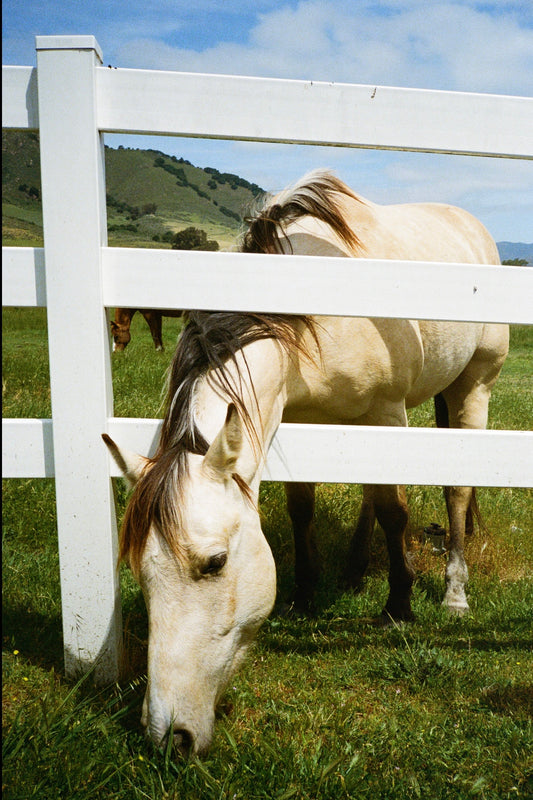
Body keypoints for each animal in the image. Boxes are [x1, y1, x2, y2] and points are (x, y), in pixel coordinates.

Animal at [103, 170, 509, 755]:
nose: (169, 735)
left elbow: (395, 510)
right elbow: (305, 508)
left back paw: (454, 591)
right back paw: (356, 569)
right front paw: (306, 592)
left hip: (471, 388)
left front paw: (399, 605)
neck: (307, 300)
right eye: (139, 570)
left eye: (215, 563)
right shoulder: (296, 417)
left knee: (455, 491)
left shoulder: (386, 412)